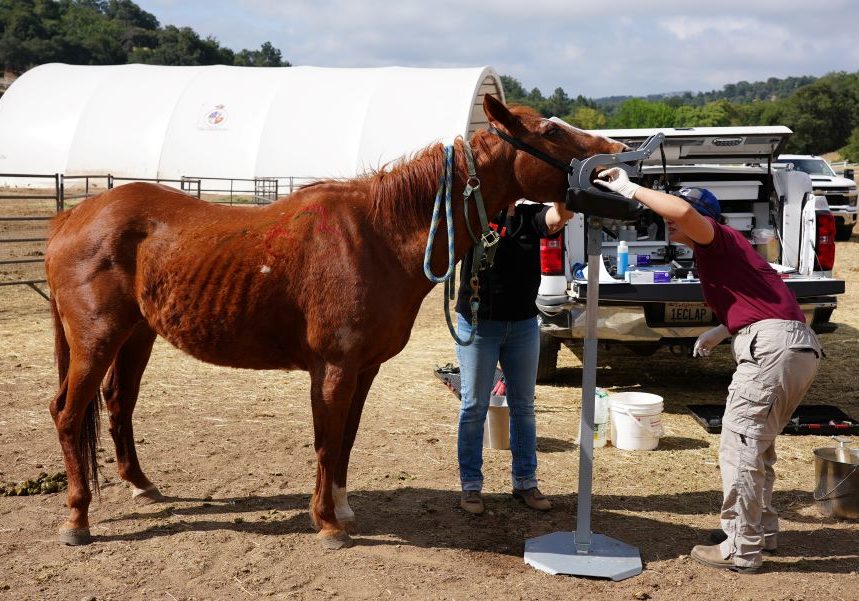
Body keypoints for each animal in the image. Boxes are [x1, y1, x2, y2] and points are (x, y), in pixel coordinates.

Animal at [44, 94, 625, 549]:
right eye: (551, 131)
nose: (618, 158)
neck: (378, 235)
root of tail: (74, 215)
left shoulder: (364, 369)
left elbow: (345, 438)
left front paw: (342, 508)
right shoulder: (334, 367)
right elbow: (326, 440)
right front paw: (327, 524)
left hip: (136, 335)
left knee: (119, 404)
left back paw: (141, 485)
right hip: (96, 340)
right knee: (68, 415)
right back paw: (77, 519)